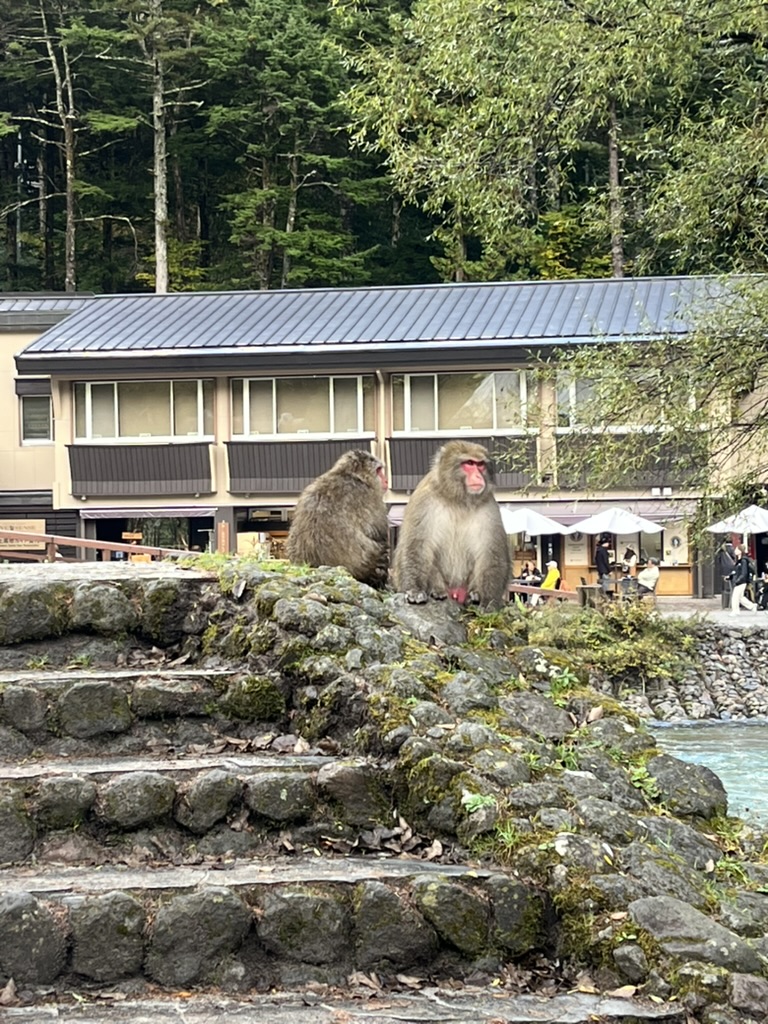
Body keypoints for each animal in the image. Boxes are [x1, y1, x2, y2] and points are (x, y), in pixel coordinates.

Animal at [392, 440, 510, 609]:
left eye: (480, 465)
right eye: (469, 463)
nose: (478, 476)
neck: (457, 499)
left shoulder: (489, 507)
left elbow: (490, 552)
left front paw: (489, 601)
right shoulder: (424, 500)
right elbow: (417, 545)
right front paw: (415, 589)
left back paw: (474, 594)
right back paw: (437, 590)